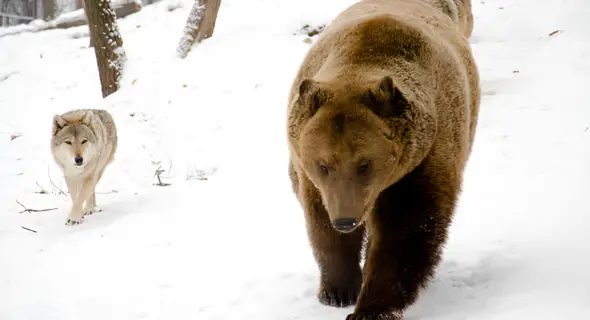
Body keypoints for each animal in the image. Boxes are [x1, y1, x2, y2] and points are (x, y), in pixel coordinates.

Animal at [286, 0, 480, 318]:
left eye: (364, 164)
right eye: (323, 165)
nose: (345, 220)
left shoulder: (422, 160)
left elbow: (406, 231)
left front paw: (371, 306)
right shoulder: (311, 177)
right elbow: (321, 226)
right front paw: (338, 289)